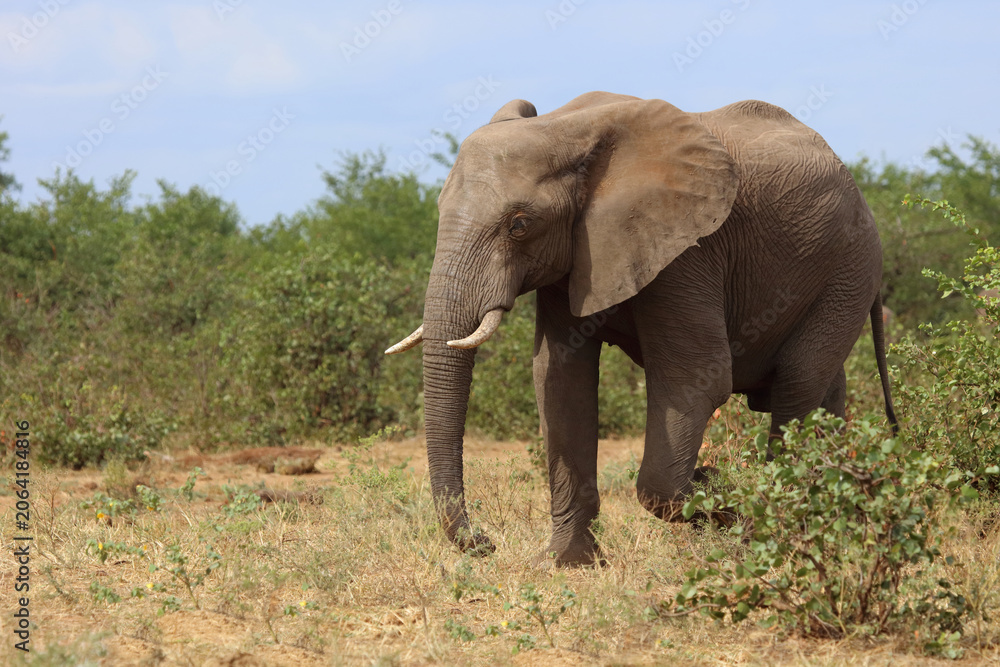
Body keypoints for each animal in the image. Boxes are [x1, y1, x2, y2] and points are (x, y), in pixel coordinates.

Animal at [386, 91, 897, 566]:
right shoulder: (577, 254)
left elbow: (698, 380)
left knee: (797, 385)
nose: (486, 543)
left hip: (849, 269)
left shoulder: (686, 251)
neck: (565, 129)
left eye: (519, 225)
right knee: (823, 393)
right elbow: (558, 380)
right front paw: (565, 563)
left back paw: (776, 531)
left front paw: (716, 485)